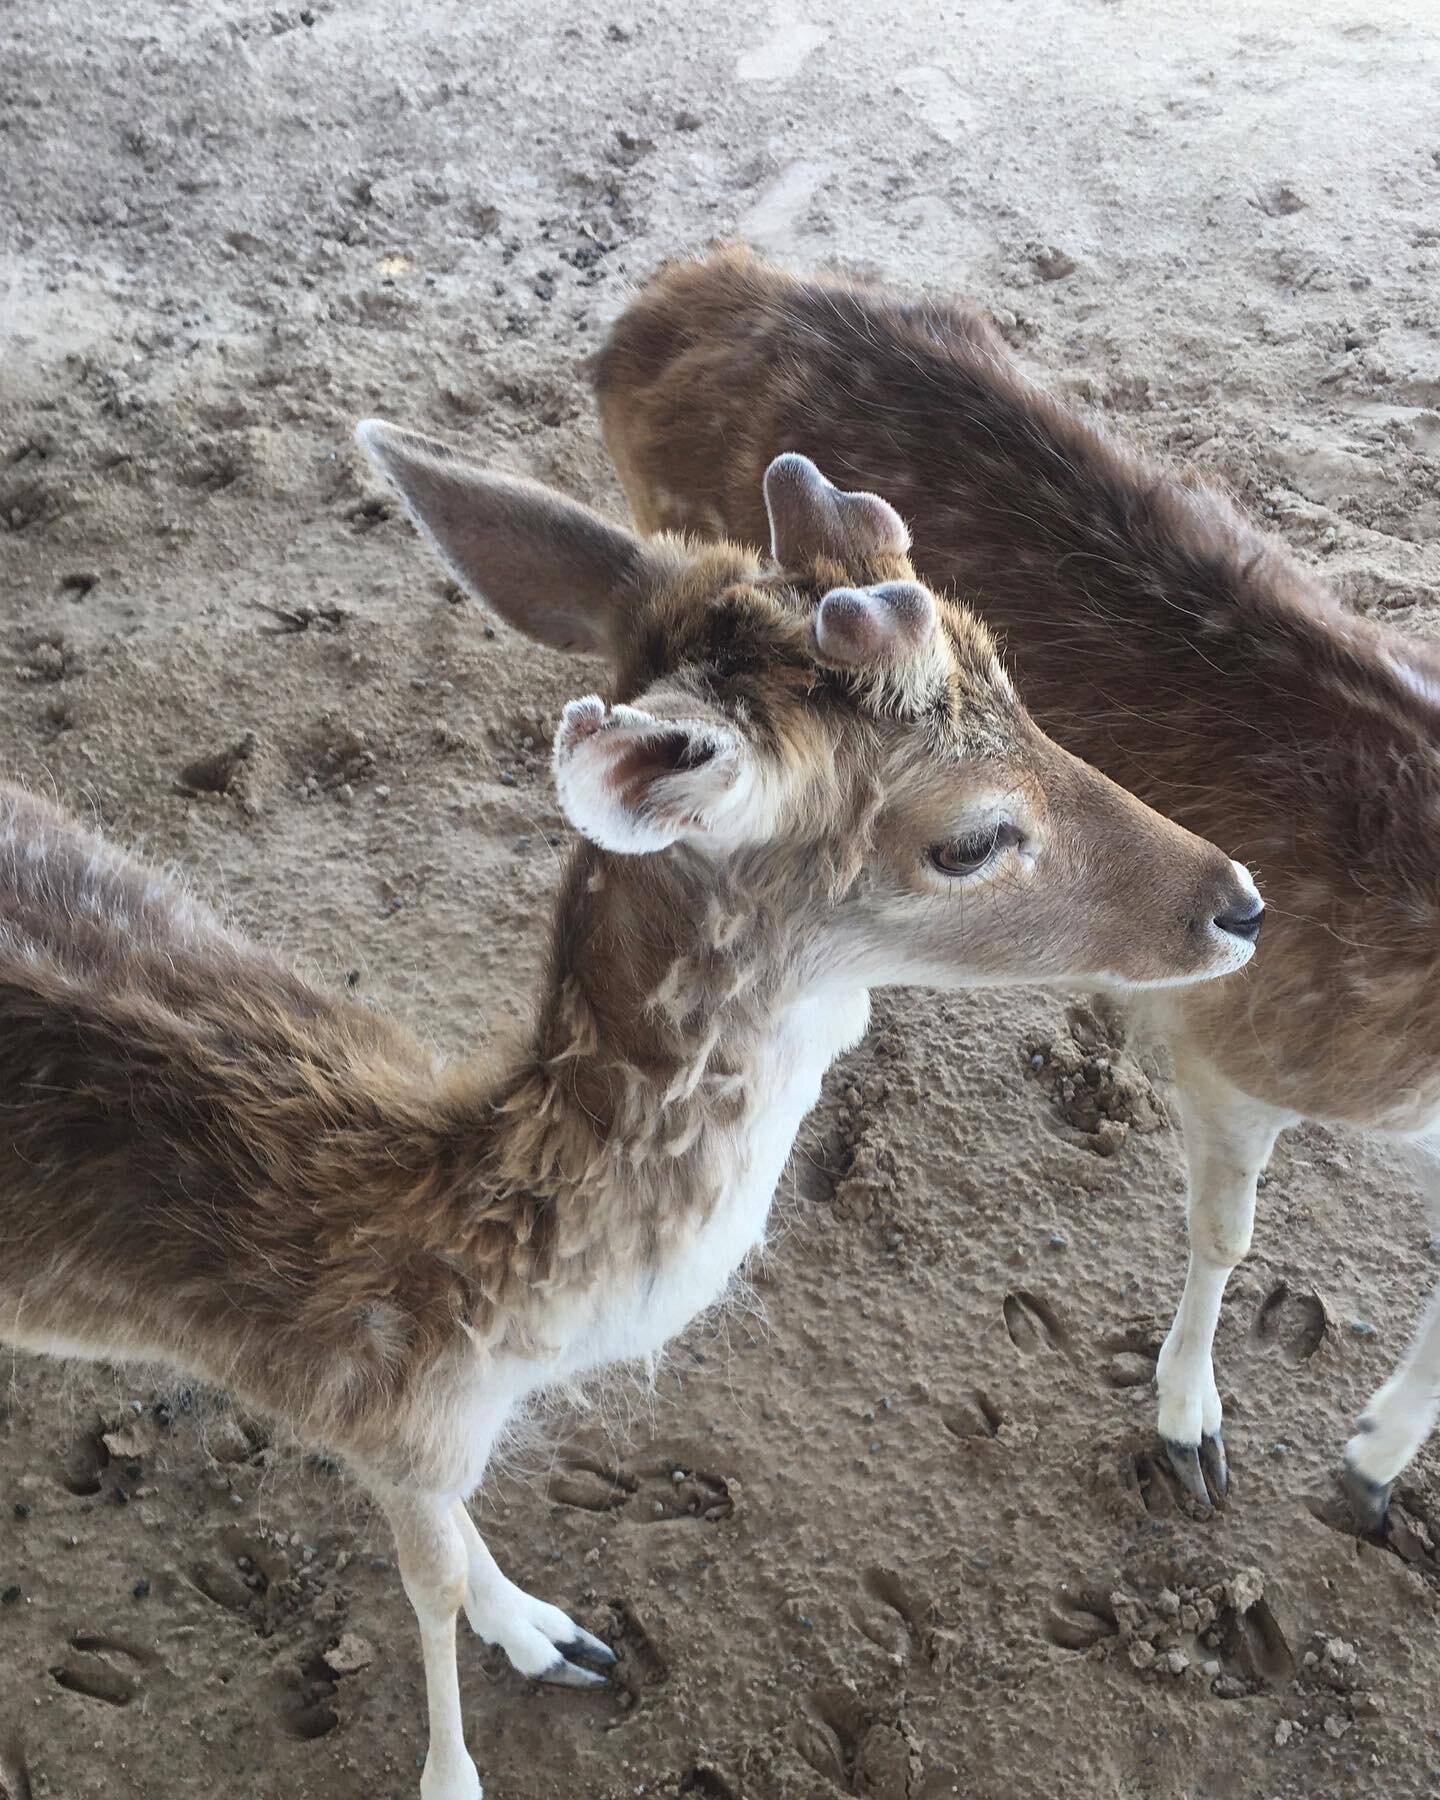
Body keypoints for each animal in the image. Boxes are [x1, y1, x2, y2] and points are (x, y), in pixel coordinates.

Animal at [0, 424, 1260, 1800]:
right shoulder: (368, 1415)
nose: (1241, 902)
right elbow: (426, 1586)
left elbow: (454, 1555)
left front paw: (554, 1635)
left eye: (1021, 686)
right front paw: (469, 1741)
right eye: (971, 840)